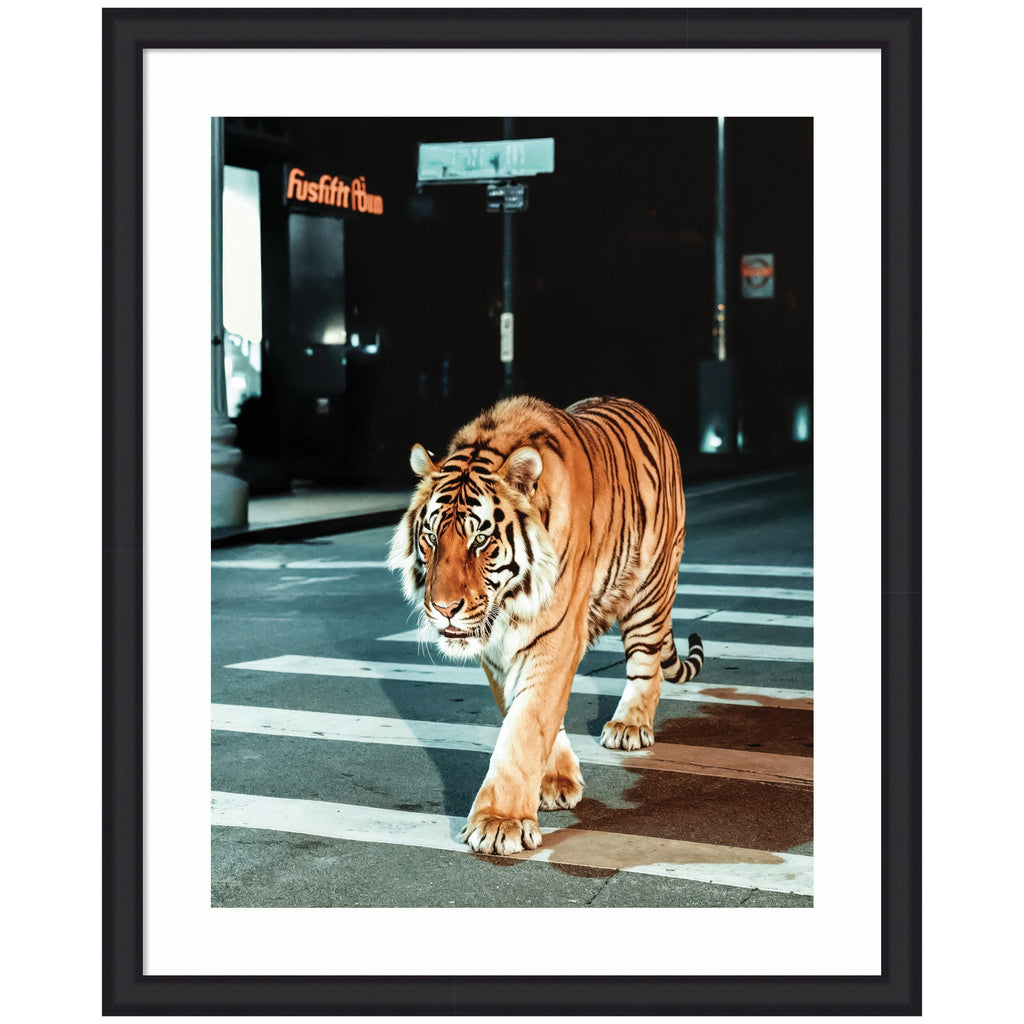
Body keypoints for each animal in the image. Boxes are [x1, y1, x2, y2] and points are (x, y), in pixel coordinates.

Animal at [388, 395, 704, 856]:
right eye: (430, 537)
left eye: (479, 540)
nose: (444, 608)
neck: (509, 603)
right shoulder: (497, 651)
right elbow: (527, 713)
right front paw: (554, 782)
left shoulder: (555, 636)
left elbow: (526, 724)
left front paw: (499, 822)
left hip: (650, 587)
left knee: (647, 664)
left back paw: (629, 725)